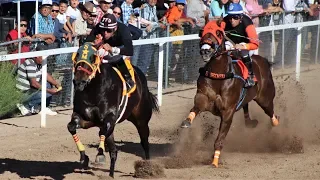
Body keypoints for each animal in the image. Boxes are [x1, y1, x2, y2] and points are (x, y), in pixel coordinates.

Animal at [67, 42, 159, 177]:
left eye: (93, 57)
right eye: (76, 55)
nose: (79, 82)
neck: (93, 91)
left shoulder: (109, 118)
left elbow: (102, 132)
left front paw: (100, 155)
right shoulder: (85, 118)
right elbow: (71, 127)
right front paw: (84, 157)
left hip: (142, 120)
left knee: (144, 142)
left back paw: (147, 167)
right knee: (114, 151)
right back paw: (111, 175)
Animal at [180, 20, 280, 167]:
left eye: (218, 33)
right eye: (202, 32)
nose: (205, 50)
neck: (219, 76)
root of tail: (263, 61)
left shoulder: (228, 111)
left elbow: (219, 139)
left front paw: (215, 161)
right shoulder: (203, 96)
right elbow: (196, 107)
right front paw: (186, 122)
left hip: (265, 98)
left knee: (271, 112)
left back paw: (275, 124)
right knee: (246, 109)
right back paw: (251, 122)